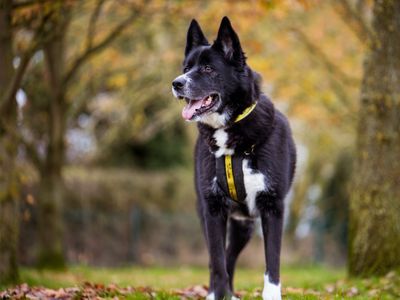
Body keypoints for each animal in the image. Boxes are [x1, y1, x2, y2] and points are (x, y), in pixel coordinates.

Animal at [170, 17, 296, 300]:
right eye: (186, 68)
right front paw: (217, 294)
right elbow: (217, 264)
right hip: (209, 215)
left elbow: (272, 263)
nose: (176, 83)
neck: (233, 133)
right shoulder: (213, 209)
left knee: (231, 257)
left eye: (208, 68)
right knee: (219, 260)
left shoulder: (273, 207)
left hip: (244, 226)